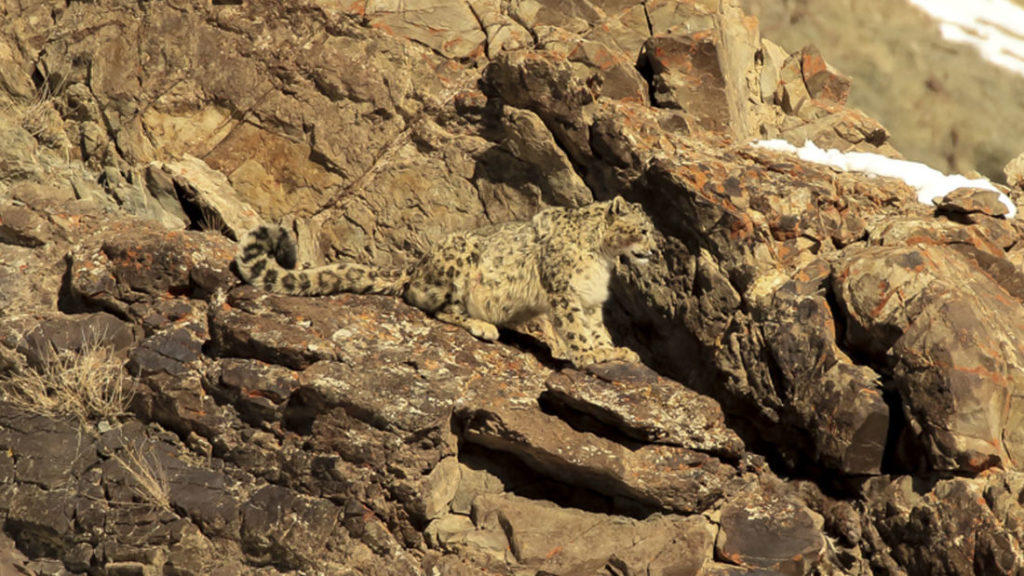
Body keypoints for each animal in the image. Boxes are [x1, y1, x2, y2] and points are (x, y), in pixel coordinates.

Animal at [234, 196, 657, 367]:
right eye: (643, 229)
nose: (655, 251)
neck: (602, 256)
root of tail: (417, 263)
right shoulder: (565, 293)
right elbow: (575, 329)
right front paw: (589, 355)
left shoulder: (590, 300)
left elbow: (596, 328)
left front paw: (614, 351)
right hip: (459, 258)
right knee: (428, 302)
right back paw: (483, 325)